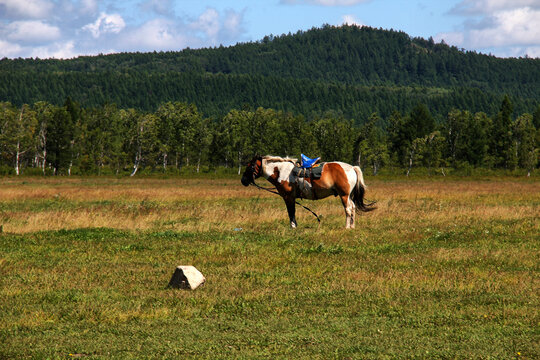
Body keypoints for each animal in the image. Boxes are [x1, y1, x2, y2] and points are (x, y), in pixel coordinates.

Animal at [242, 154, 376, 228]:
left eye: (250, 166)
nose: (243, 180)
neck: (281, 171)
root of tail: (352, 167)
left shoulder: (288, 197)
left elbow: (291, 212)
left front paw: (293, 227)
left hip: (344, 195)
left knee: (348, 209)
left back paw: (347, 226)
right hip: (349, 195)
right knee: (353, 207)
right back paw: (352, 226)